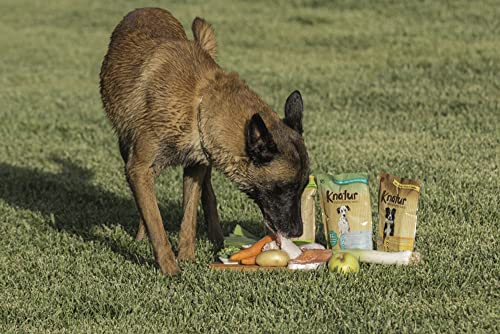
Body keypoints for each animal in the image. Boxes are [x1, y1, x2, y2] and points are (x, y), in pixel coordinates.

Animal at [98, 7, 308, 276]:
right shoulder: (139, 169)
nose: (298, 231)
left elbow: (189, 217)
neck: (200, 101)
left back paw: (216, 236)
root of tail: (147, 8)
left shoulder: (196, 165)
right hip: (127, 148)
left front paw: (187, 257)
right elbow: (156, 221)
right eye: (284, 188)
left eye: (303, 186)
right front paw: (170, 268)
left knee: (208, 195)